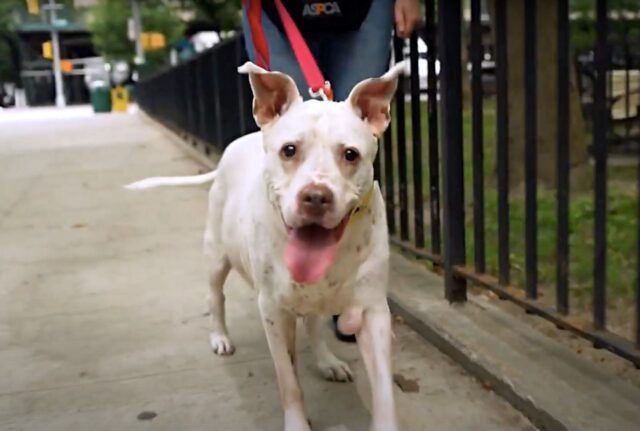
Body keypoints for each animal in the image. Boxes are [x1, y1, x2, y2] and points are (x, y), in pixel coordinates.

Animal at [127, 61, 402, 431]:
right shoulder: (273, 311)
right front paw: (297, 423)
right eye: (289, 150)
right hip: (216, 257)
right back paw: (220, 337)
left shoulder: (373, 313)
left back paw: (326, 361)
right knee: (215, 297)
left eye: (350, 154)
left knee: (313, 324)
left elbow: (384, 391)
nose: (316, 197)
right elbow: (289, 382)